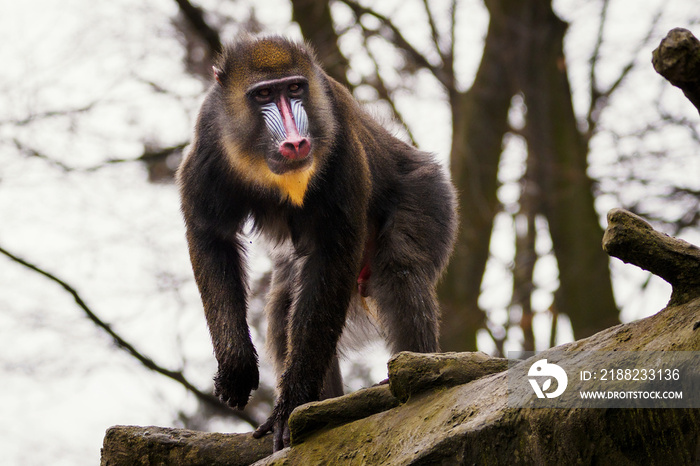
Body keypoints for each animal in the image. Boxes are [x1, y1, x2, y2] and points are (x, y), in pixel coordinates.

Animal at [178, 36, 456, 452]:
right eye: (263, 94)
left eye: (295, 88)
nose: (295, 142)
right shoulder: (209, 140)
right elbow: (212, 236)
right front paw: (236, 371)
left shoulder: (339, 146)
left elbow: (331, 256)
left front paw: (291, 405)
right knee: (283, 309)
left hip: (428, 195)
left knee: (398, 269)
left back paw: (415, 379)